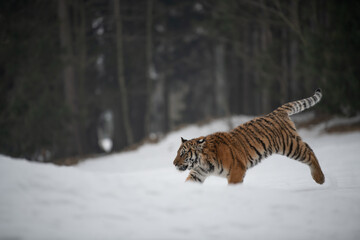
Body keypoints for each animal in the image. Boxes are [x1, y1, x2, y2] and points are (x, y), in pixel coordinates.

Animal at [173, 89, 324, 185]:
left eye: (183, 154)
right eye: (178, 153)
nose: (174, 163)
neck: (203, 162)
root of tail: (276, 112)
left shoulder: (236, 170)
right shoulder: (197, 173)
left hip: (289, 145)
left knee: (309, 152)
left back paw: (320, 178)